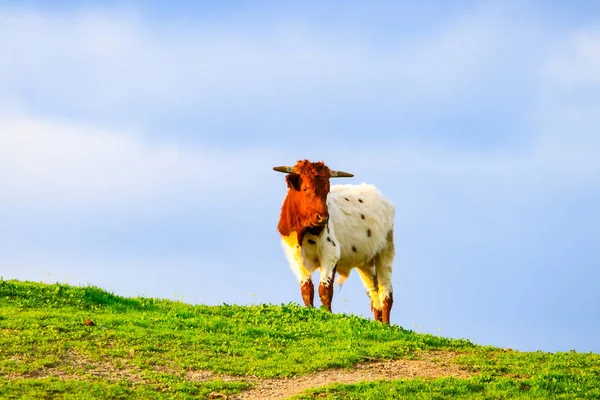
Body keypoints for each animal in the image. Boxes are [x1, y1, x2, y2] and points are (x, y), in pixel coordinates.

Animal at [274, 158, 396, 324]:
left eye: (327, 190)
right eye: (305, 188)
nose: (323, 217)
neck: (303, 231)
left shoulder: (330, 252)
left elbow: (324, 289)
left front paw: (327, 314)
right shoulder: (294, 257)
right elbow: (307, 289)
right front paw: (309, 311)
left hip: (385, 252)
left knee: (386, 293)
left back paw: (386, 325)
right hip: (366, 262)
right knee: (373, 292)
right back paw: (378, 323)